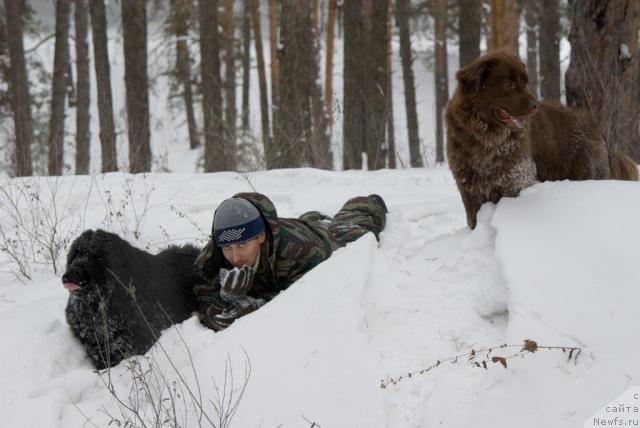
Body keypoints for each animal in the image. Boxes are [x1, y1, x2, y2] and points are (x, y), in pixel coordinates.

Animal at [448, 51, 636, 229]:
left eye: (525, 83)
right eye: (508, 84)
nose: (535, 105)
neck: (487, 140)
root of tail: (595, 127)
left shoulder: (516, 181)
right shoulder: (470, 190)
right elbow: (473, 221)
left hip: (589, 172)